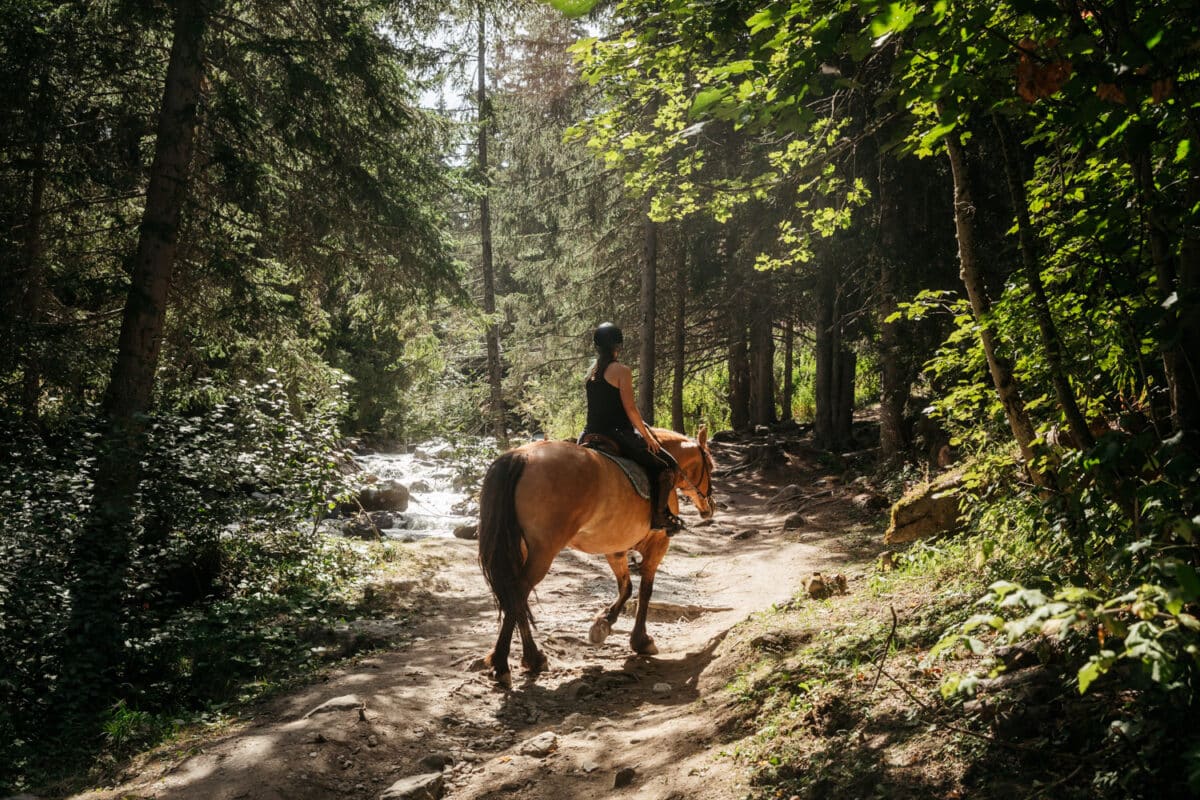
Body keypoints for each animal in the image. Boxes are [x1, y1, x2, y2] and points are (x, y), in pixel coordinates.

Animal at [475, 429, 710, 686]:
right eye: (710, 465)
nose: (709, 508)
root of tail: (521, 456)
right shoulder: (658, 545)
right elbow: (645, 591)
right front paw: (641, 640)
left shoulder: (615, 548)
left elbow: (626, 587)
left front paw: (603, 623)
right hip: (543, 551)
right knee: (518, 593)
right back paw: (503, 664)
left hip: (520, 548)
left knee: (516, 596)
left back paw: (532, 658)